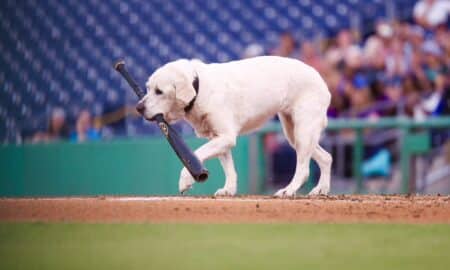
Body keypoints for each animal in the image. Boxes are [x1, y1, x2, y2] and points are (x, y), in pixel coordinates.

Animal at [139, 56, 332, 197]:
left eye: (159, 91)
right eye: (147, 88)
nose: (138, 107)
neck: (199, 88)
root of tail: (321, 79)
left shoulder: (226, 137)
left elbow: (196, 155)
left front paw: (185, 180)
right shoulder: (219, 138)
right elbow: (230, 170)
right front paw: (228, 190)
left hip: (303, 130)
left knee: (304, 169)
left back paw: (288, 190)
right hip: (294, 134)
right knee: (326, 157)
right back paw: (320, 190)